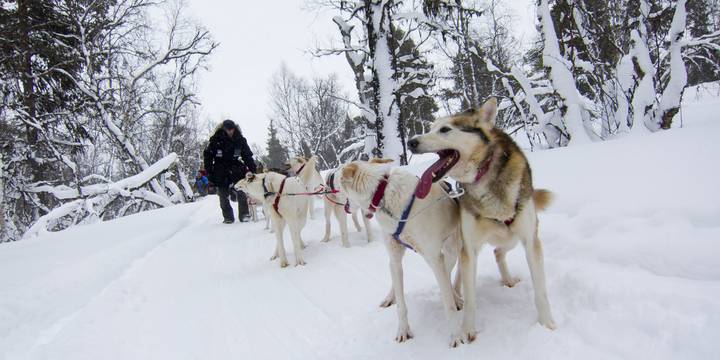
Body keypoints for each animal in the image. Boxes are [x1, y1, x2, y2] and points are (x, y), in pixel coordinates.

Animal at [338, 160, 462, 344]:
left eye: (338, 185)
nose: (345, 206)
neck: (382, 193)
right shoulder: (396, 257)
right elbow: (402, 306)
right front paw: (403, 330)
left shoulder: (436, 257)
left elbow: (448, 300)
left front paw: (456, 335)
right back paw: (390, 297)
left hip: (451, 248)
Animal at [408, 98, 556, 346]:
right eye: (430, 128)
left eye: (445, 129)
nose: (411, 142)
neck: (484, 173)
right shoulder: (470, 249)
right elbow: (470, 296)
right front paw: (468, 329)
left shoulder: (530, 241)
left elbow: (541, 290)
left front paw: (546, 324)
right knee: (485, 259)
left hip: (512, 238)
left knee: (499, 251)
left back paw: (507, 279)